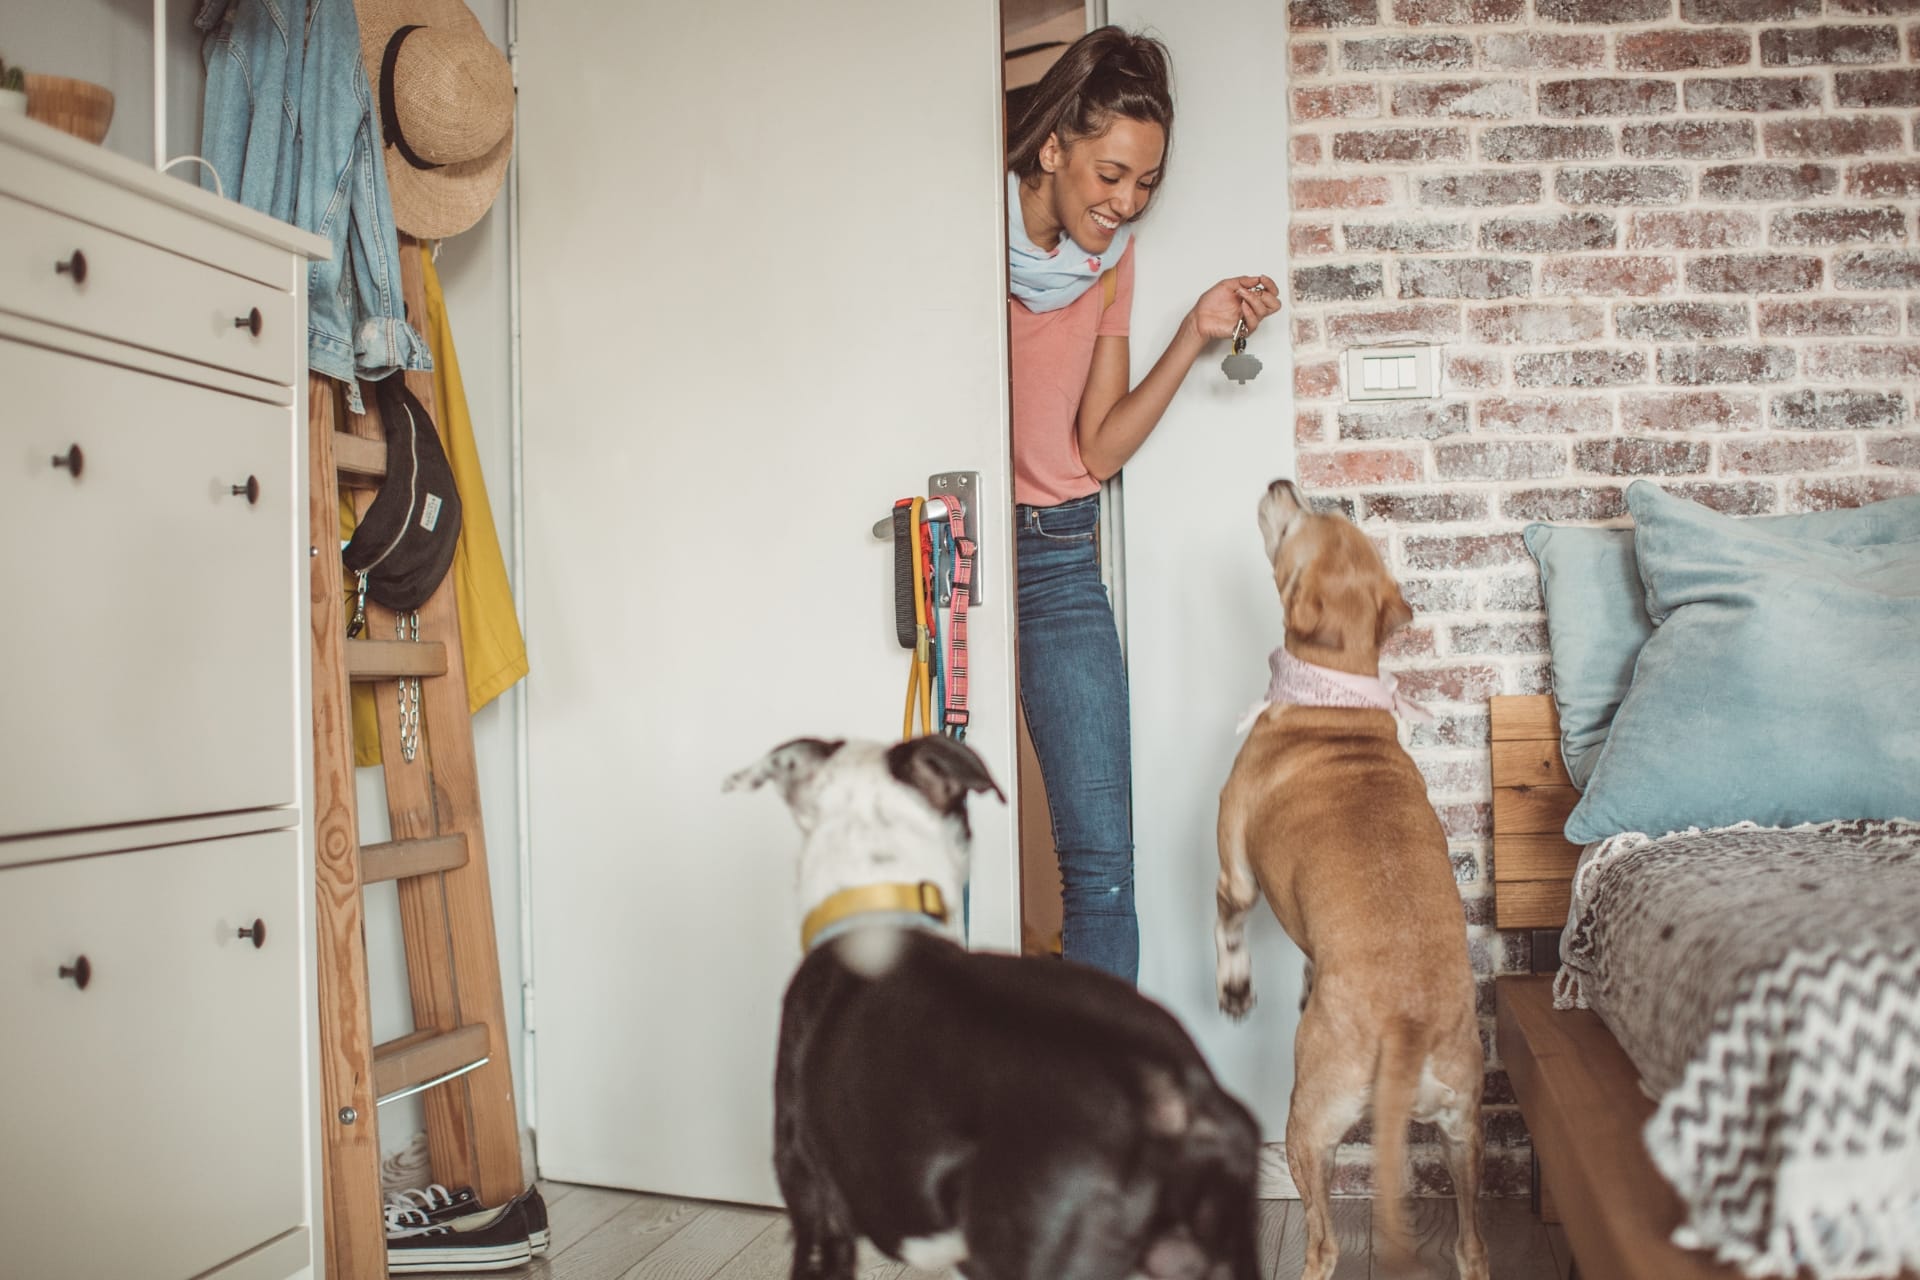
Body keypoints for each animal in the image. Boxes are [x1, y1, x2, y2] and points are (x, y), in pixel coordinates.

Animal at [1213, 479, 1482, 1280]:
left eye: (1305, 517)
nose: (1284, 484)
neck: (1337, 699)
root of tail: (1407, 1022)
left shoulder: (1235, 864)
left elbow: (1229, 921)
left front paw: (1234, 989)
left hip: (1309, 1122)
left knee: (1325, 1243)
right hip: (1462, 1132)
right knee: (1472, 1245)